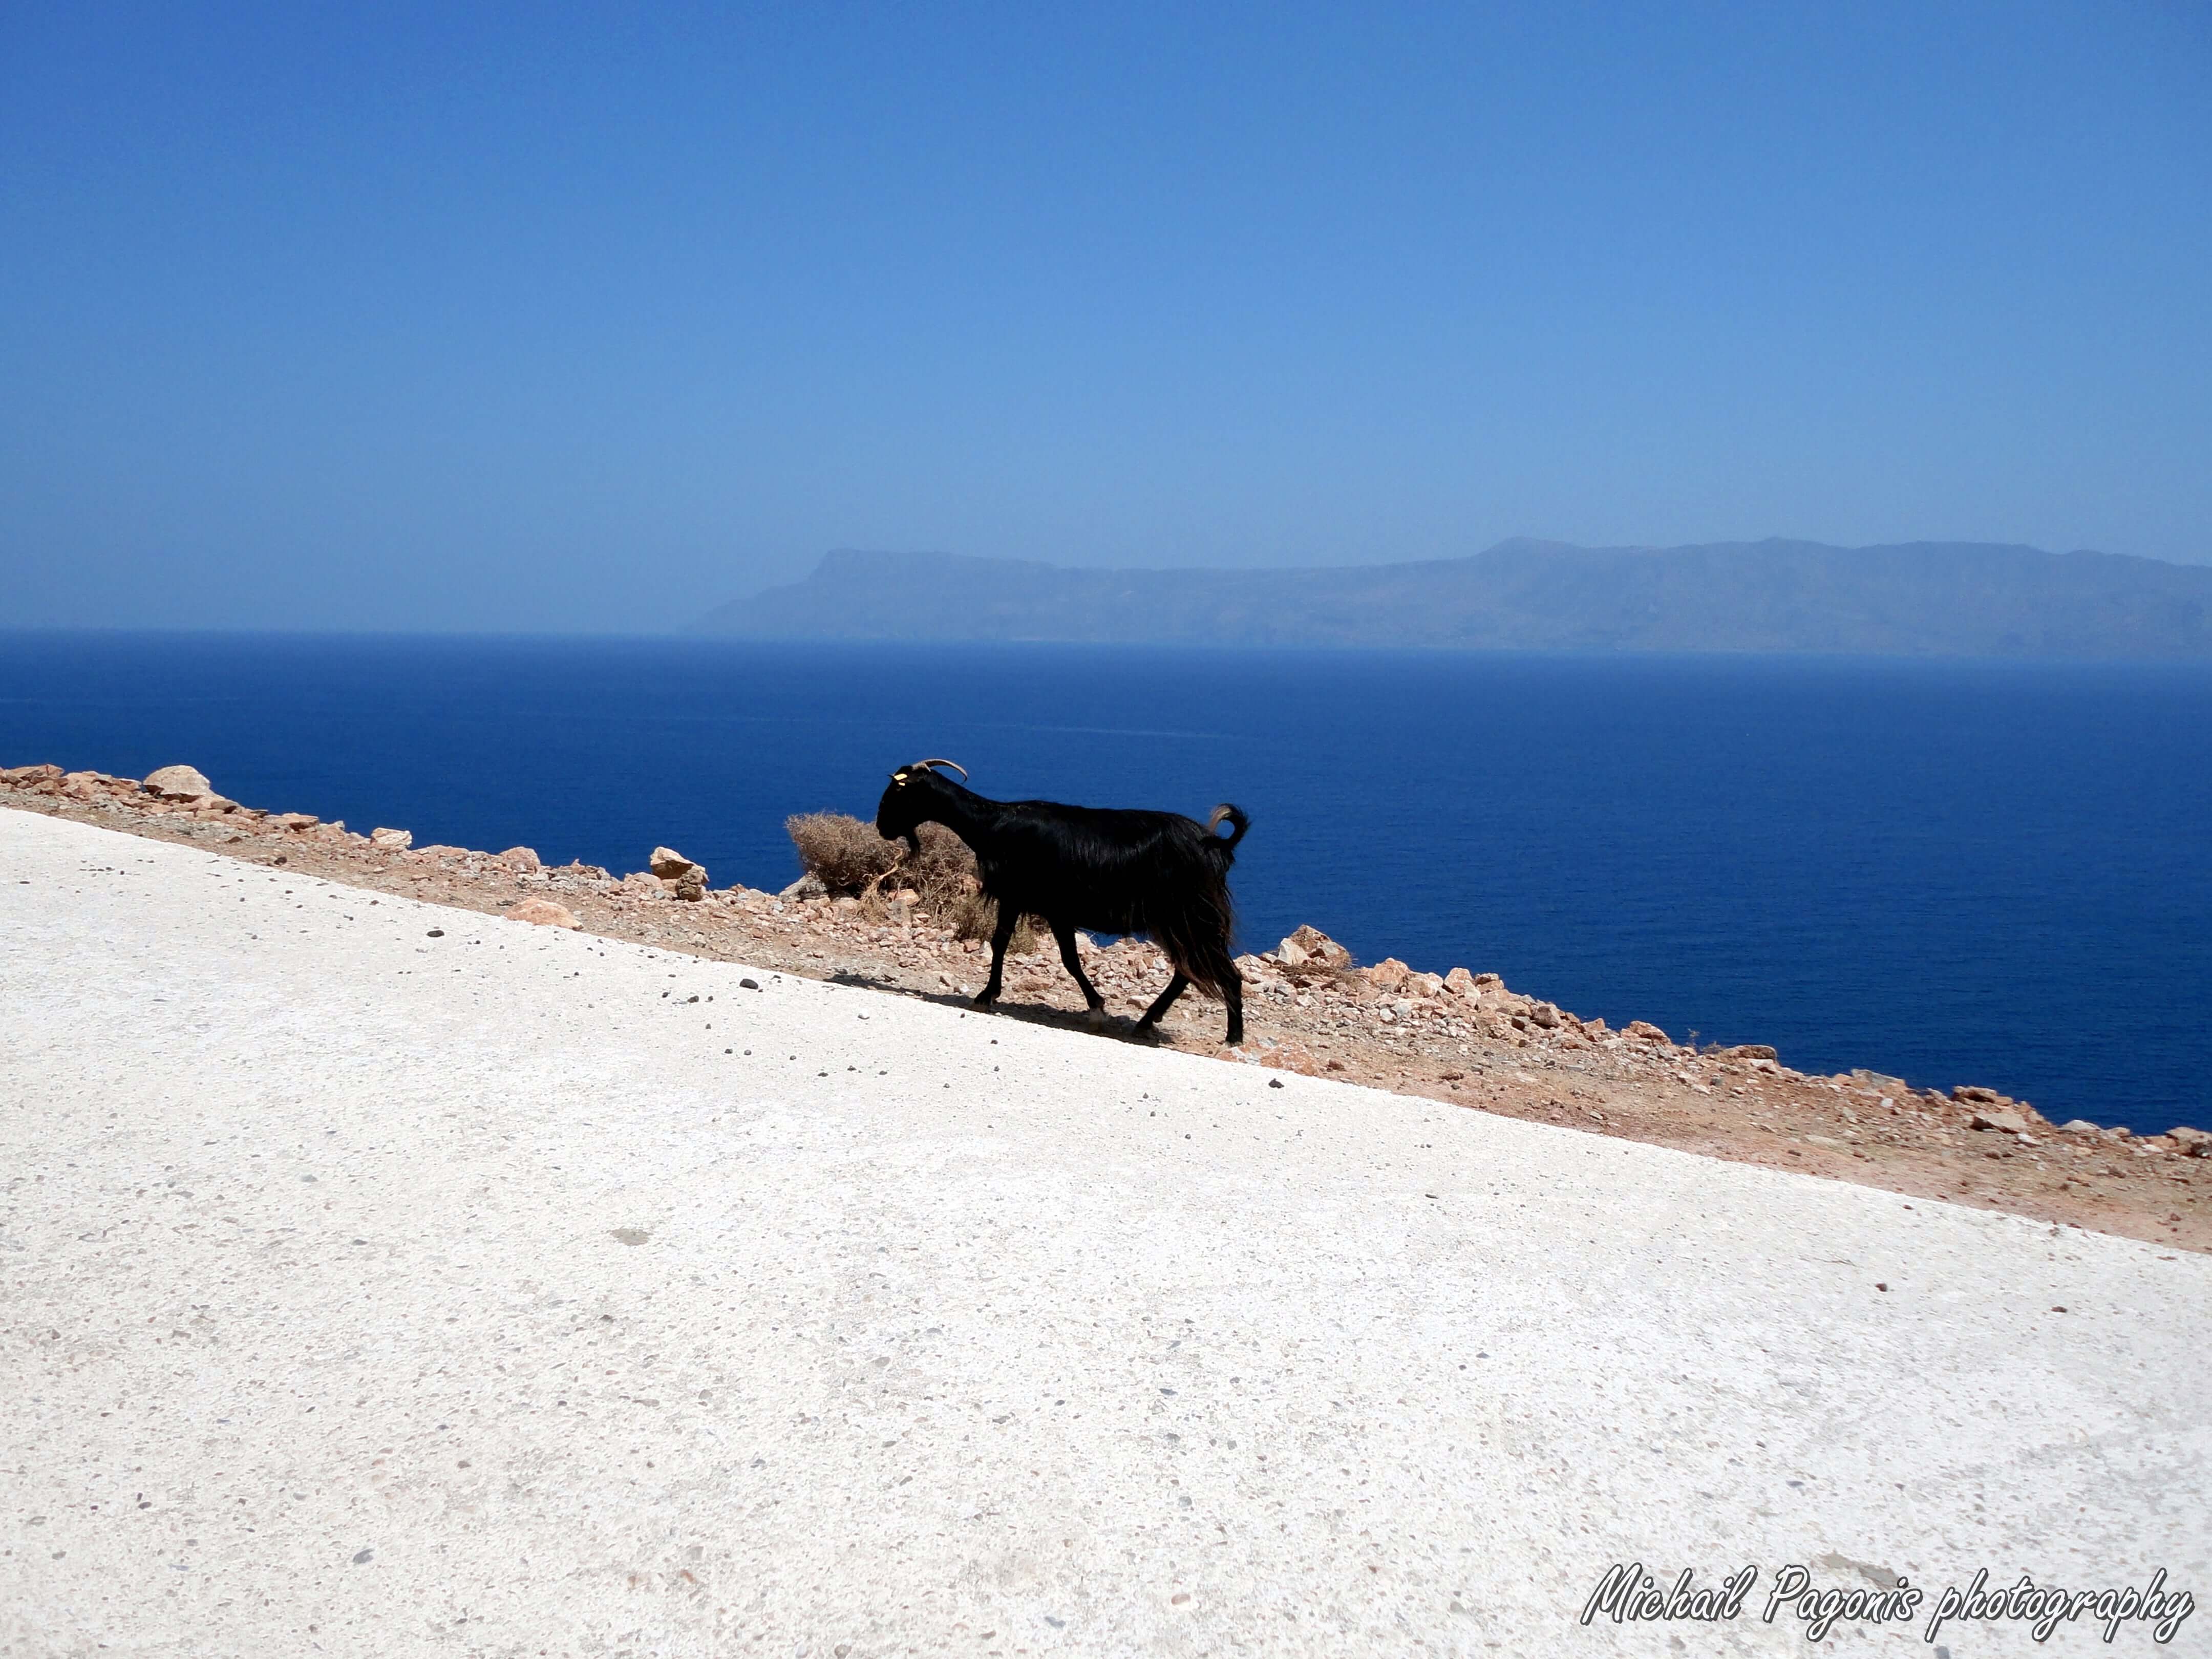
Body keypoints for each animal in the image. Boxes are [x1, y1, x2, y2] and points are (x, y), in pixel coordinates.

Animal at [880, 765, 1265, 1044]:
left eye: (898, 794)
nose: (883, 828)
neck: (993, 826)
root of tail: (1217, 845)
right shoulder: (1054, 909)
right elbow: (1065, 957)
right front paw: (1095, 1006)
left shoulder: (1020, 897)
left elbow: (1006, 943)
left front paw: (986, 996)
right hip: (1176, 921)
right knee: (1186, 971)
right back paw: (1145, 1022)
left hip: (1191, 916)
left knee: (1225, 975)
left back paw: (1233, 1038)